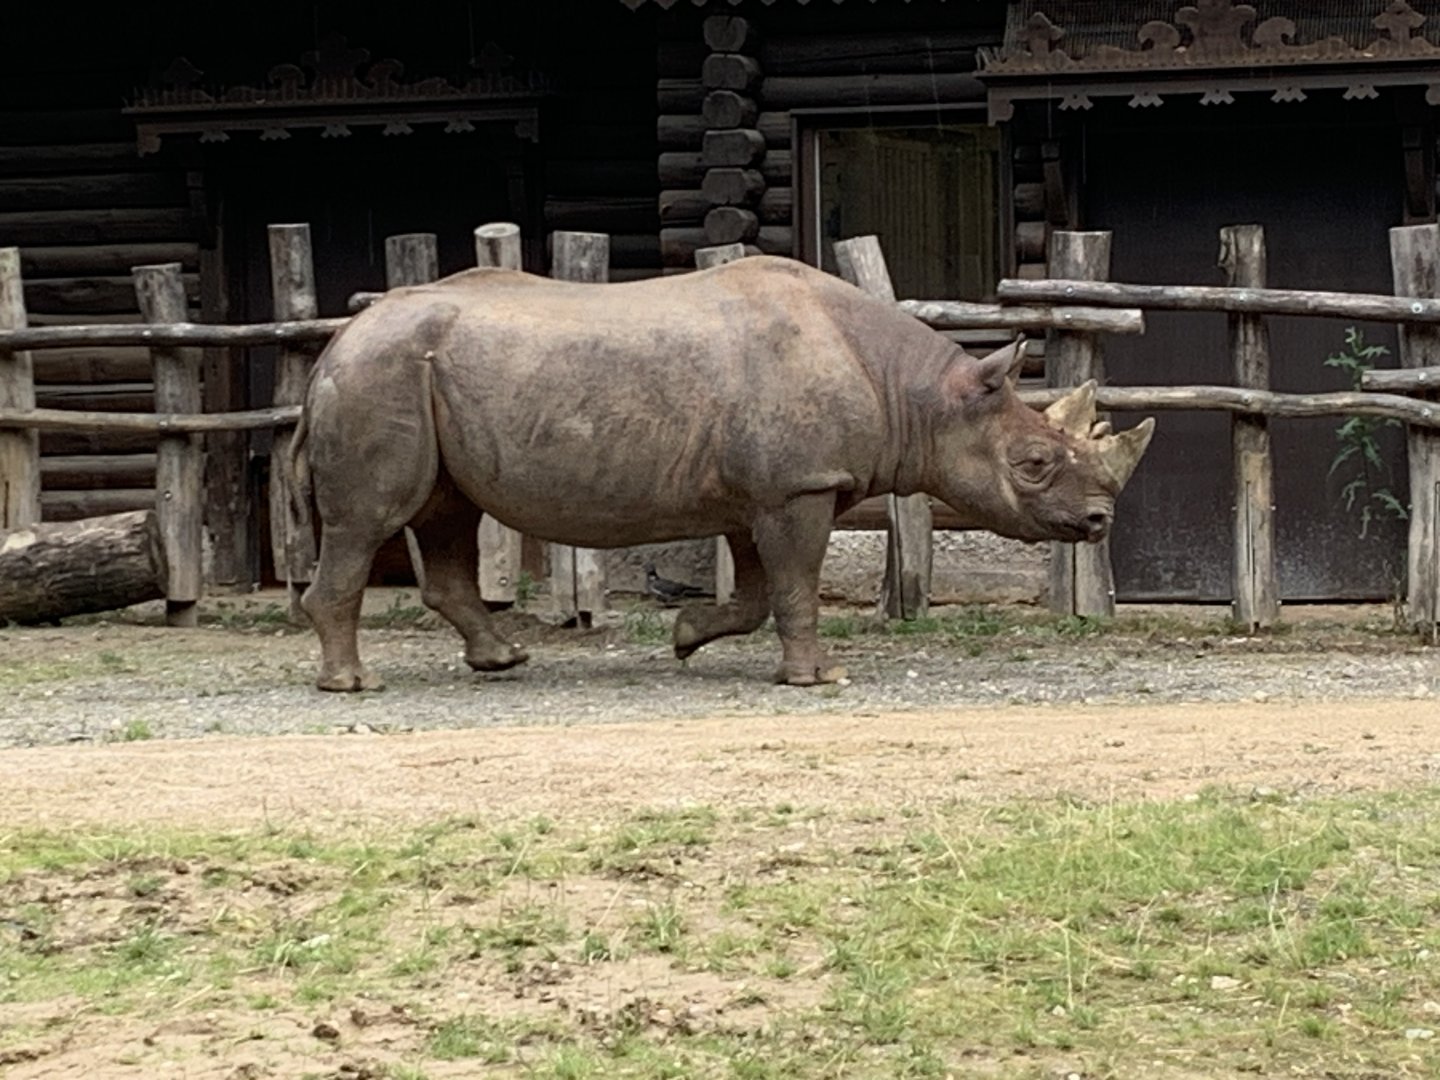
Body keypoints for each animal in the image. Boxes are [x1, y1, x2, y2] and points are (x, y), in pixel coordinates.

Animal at [290, 255, 1153, 692]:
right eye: (1034, 465)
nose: (1099, 522)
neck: (917, 392)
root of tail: (332, 345)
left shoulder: (762, 492)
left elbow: (760, 591)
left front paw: (684, 637)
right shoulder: (800, 485)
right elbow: (796, 585)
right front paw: (816, 678)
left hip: (413, 375)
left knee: (445, 514)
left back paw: (500, 662)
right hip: (380, 376)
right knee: (371, 520)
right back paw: (352, 684)